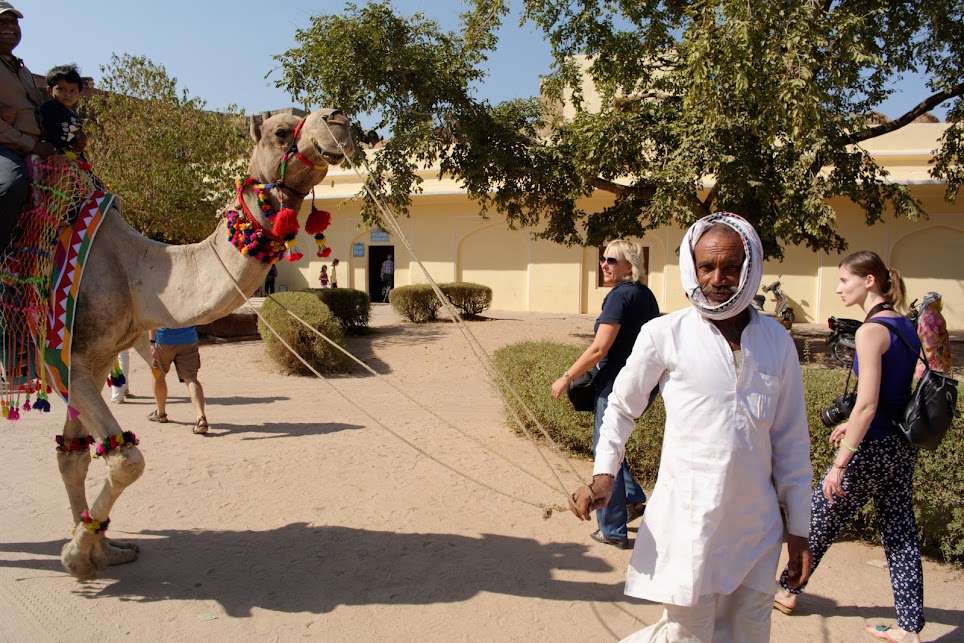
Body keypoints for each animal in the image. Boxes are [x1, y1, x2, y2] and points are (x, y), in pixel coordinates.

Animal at [49, 108, 350, 580]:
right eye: (282, 130)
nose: (338, 119)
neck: (132, 267)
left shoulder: (94, 358)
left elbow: (75, 457)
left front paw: (100, 550)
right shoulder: (67, 358)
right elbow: (125, 459)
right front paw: (77, 554)